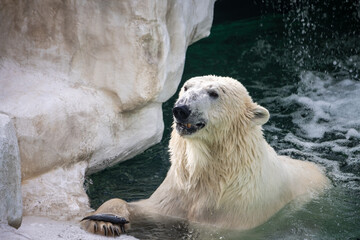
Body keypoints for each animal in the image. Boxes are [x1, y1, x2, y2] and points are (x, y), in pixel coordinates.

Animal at [81, 76, 330, 236]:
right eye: (186, 87)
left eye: (214, 93)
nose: (181, 109)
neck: (211, 175)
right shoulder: (177, 193)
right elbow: (147, 210)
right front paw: (104, 222)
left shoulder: (234, 211)